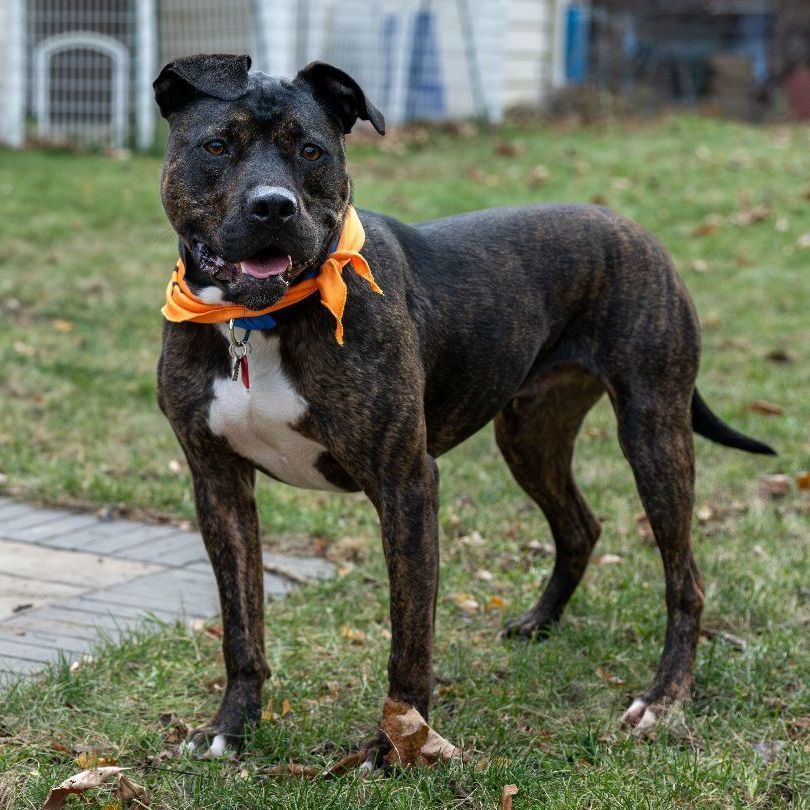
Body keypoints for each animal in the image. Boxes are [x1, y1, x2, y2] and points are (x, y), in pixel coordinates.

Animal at [150, 53, 772, 756]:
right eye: (217, 146)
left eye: (311, 150)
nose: (273, 207)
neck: (259, 322)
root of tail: (632, 226)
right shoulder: (218, 483)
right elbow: (241, 623)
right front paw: (231, 726)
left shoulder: (406, 482)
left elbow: (410, 634)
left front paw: (398, 745)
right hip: (530, 433)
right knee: (579, 526)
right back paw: (540, 623)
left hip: (654, 434)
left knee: (684, 579)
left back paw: (663, 698)